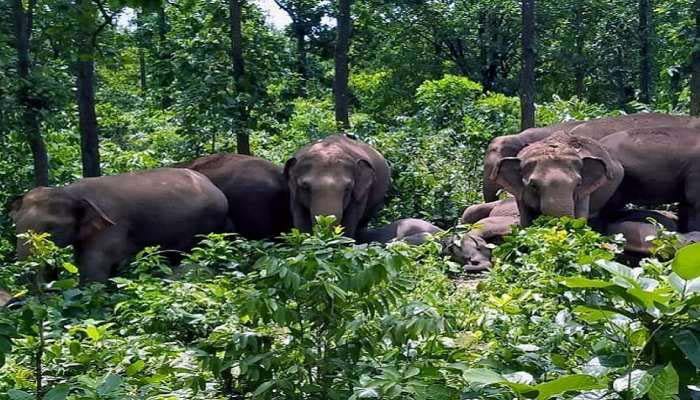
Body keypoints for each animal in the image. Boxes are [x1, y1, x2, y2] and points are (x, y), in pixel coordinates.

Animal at [494, 133, 624, 227]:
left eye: (578, 184)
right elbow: (525, 220)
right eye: (533, 186)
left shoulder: (584, 193)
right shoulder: (519, 195)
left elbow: (581, 216)